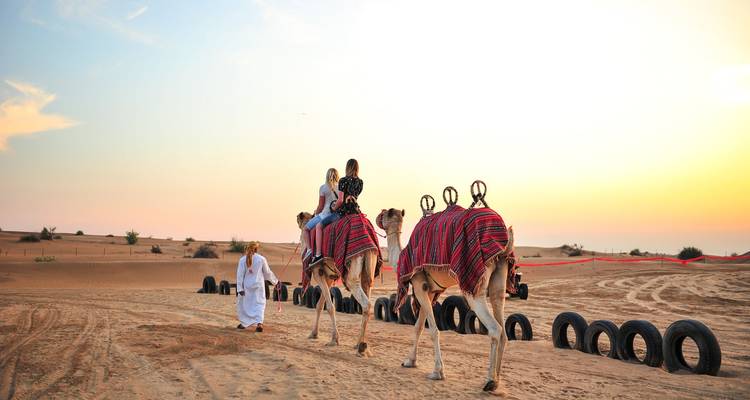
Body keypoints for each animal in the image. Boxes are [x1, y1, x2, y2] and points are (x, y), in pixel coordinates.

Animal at [295, 209, 404, 357]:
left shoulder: (318, 272)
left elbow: (330, 306)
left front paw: (334, 339)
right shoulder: (330, 276)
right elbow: (319, 305)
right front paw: (314, 333)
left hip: (351, 274)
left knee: (366, 303)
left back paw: (361, 348)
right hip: (368, 271)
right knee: (366, 297)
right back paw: (360, 344)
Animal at [396, 183, 515, 394]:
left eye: (388, 215)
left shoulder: (418, 284)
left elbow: (433, 330)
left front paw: (437, 372)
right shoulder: (430, 291)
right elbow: (418, 327)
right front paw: (410, 361)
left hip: (475, 287)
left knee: (495, 328)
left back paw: (489, 381)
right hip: (499, 278)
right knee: (503, 327)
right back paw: (497, 380)